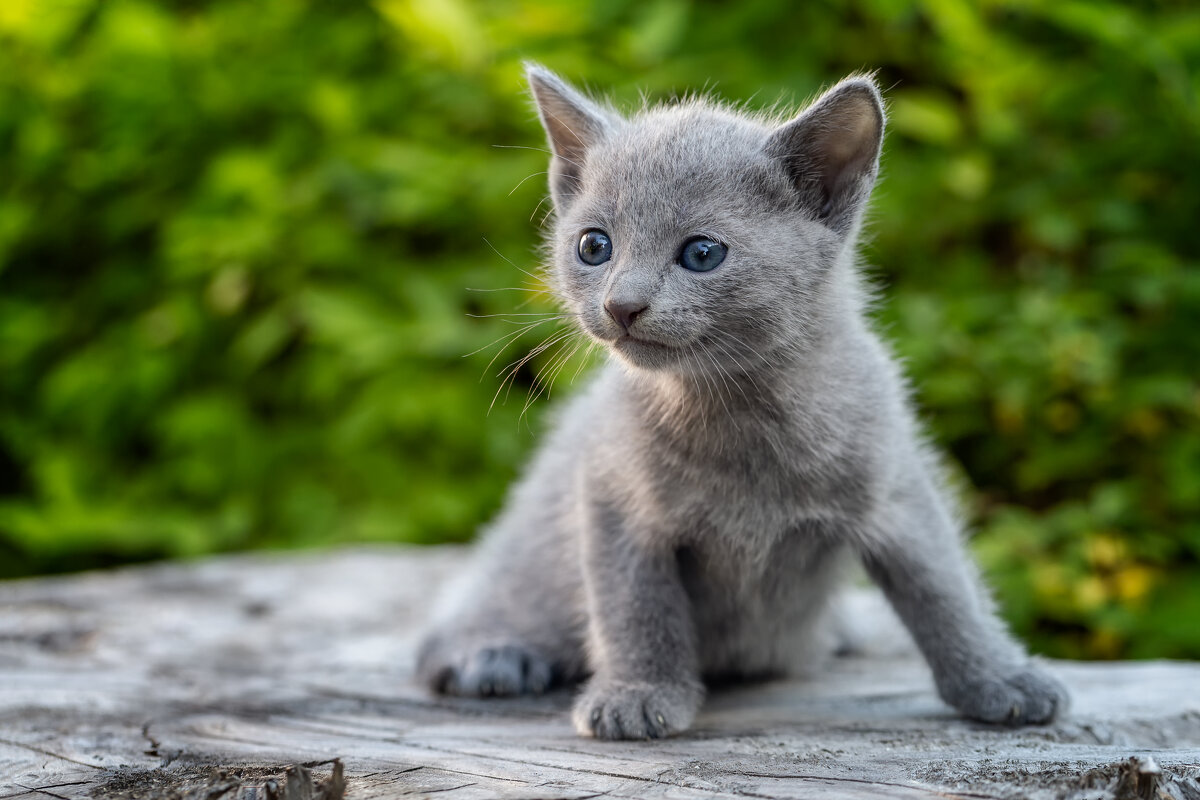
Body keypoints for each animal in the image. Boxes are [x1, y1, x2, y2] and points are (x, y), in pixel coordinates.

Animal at [415, 65, 1070, 743]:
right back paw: (492, 655)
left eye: (702, 254)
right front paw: (637, 694)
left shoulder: (898, 485)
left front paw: (999, 680)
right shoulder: (611, 494)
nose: (622, 305)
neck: (736, 411)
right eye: (593, 246)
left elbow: (944, 590)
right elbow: (634, 604)